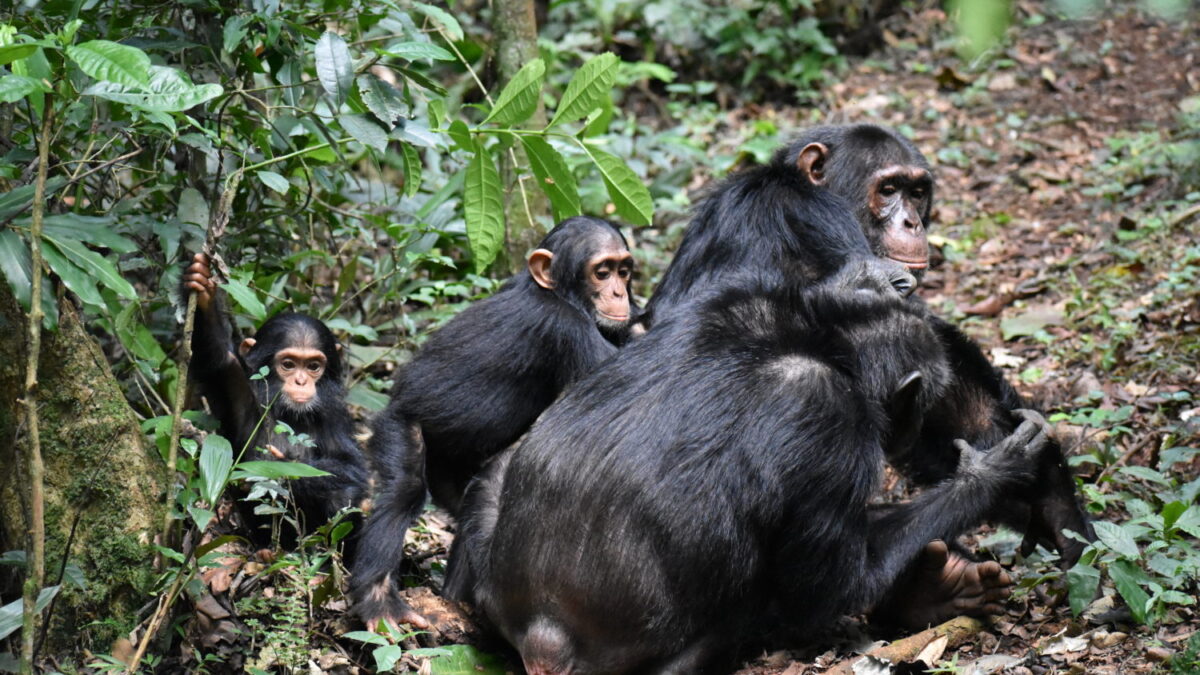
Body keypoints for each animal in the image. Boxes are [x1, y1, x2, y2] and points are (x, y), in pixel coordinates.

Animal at [350, 213, 643, 624]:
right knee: (402, 490)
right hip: (398, 427)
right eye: (602, 272)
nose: (619, 294)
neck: (558, 294)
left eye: (623, 270)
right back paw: (378, 599)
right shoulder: (565, 327)